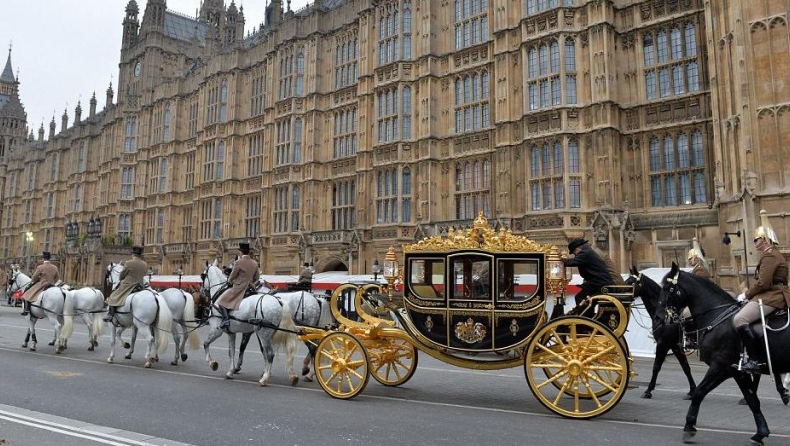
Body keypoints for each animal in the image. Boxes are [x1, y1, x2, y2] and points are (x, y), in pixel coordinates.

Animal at [628, 266, 696, 398]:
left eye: (630, 282)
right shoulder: (675, 346)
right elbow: (685, 367)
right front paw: (692, 390)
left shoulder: (662, 344)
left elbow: (656, 367)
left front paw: (648, 390)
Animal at [660, 264, 790, 444]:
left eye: (667, 287)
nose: (660, 317)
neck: (717, 318)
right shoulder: (737, 372)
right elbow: (752, 401)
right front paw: (761, 432)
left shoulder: (719, 367)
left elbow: (699, 392)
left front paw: (689, 426)